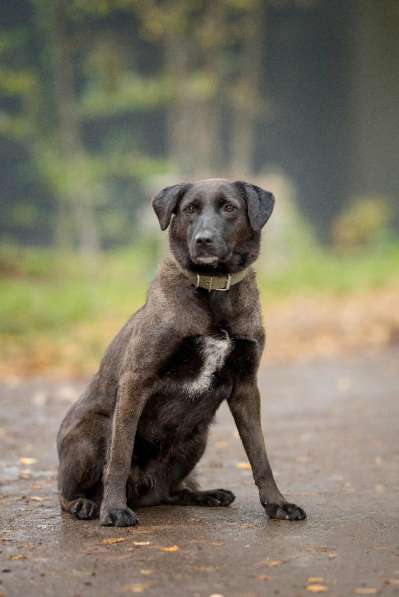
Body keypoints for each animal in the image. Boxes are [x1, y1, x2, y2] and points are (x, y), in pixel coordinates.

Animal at [57, 178, 306, 528]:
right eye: (189, 209)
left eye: (229, 207)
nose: (204, 240)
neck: (213, 290)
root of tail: (141, 487)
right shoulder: (136, 380)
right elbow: (119, 456)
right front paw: (114, 510)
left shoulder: (246, 387)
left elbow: (260, 456)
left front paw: (277, 504)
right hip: (94, 433)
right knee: (65, 493)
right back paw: (85, 503)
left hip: (196, 439)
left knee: (169, 492)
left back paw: (204, 494)